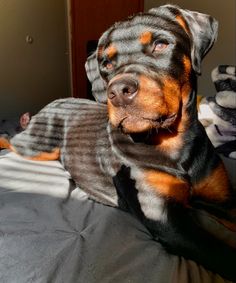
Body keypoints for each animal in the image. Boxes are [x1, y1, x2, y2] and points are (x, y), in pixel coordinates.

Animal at [0, 4, 236, 282]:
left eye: (161, 44)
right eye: (106, 62)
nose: (119, 91)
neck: (173, 145)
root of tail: (56, 101)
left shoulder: (223, 200)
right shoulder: (166, 220)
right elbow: (224, 254)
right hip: (37, 147)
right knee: (11, 138)